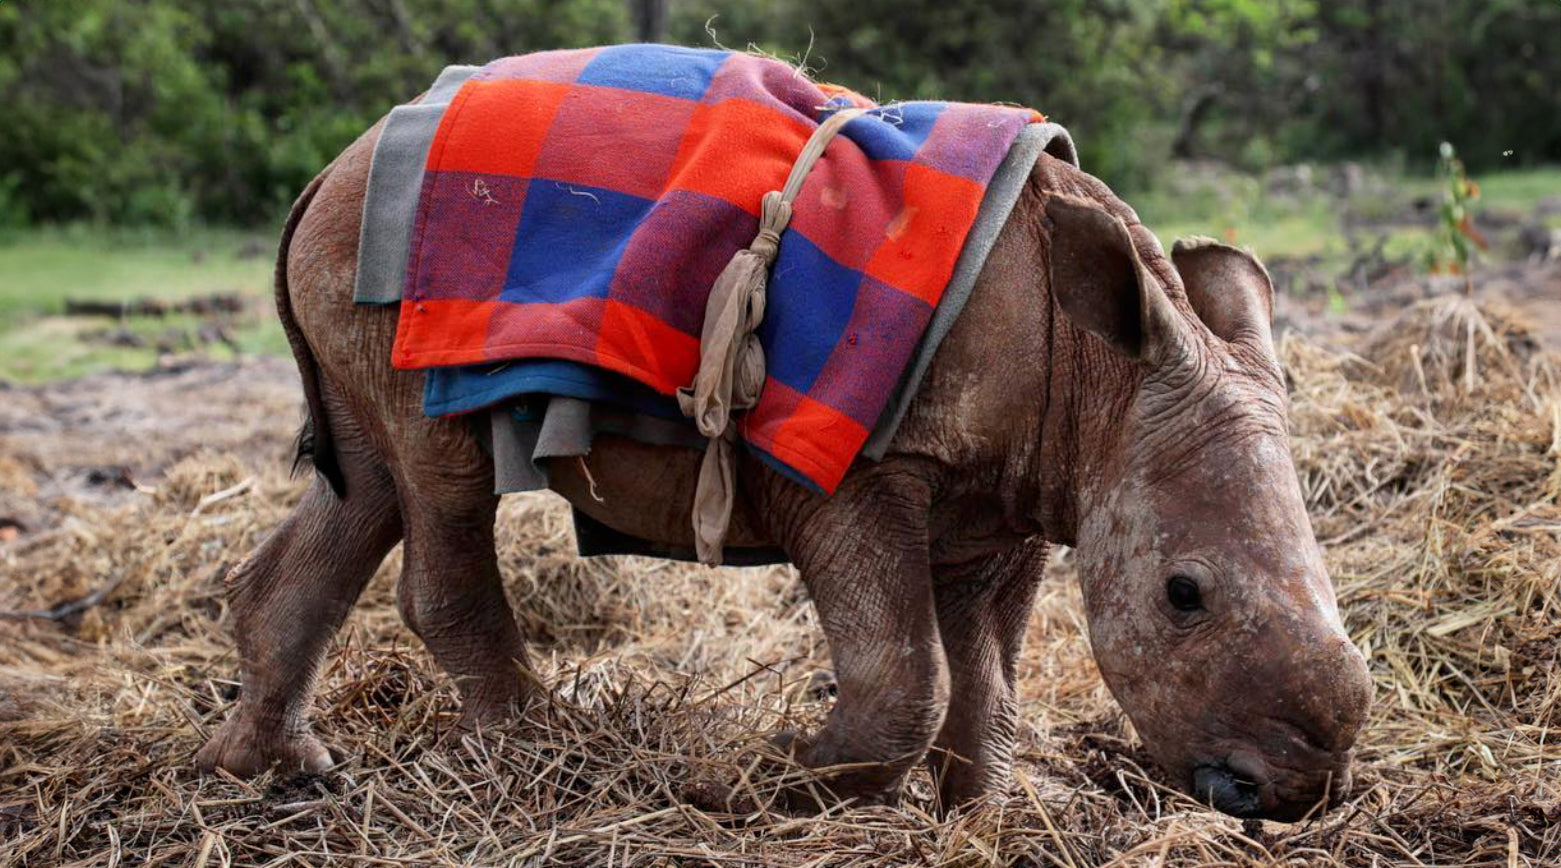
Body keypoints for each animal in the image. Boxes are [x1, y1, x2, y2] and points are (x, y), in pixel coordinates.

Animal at [194, 107, 1372, 822]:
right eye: (1184, 595)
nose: (1283, 794)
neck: (1099, 380)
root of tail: (332, 167)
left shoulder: (1023, 485)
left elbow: (986, 676)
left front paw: (974, 813)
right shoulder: (843, 464)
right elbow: (905, 670)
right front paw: (744, 787)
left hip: (354, 276)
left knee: (369, 481)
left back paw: (276, 775)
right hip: (402, 279)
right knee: (439, 471)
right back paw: (558, 766)